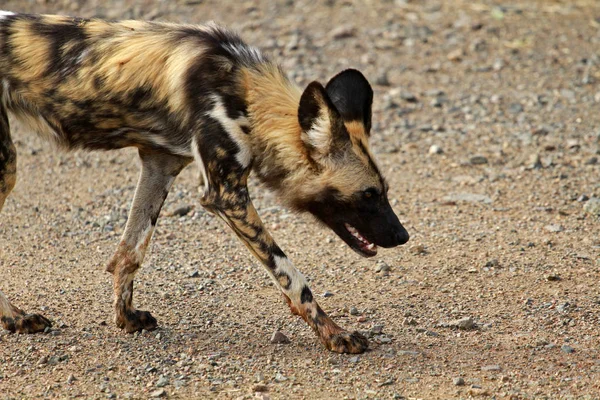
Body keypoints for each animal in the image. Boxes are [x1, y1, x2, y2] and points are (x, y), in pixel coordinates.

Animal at [0, 10, 408, 354]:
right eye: (368, 195)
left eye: (384, 192)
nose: (403, 236)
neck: (245, 93)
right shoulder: (226, 196)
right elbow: (292, 276)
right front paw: (334, 334)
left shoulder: (160, 163)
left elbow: (130, 253)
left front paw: (126, 318)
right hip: (8, 167)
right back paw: (16, 318)